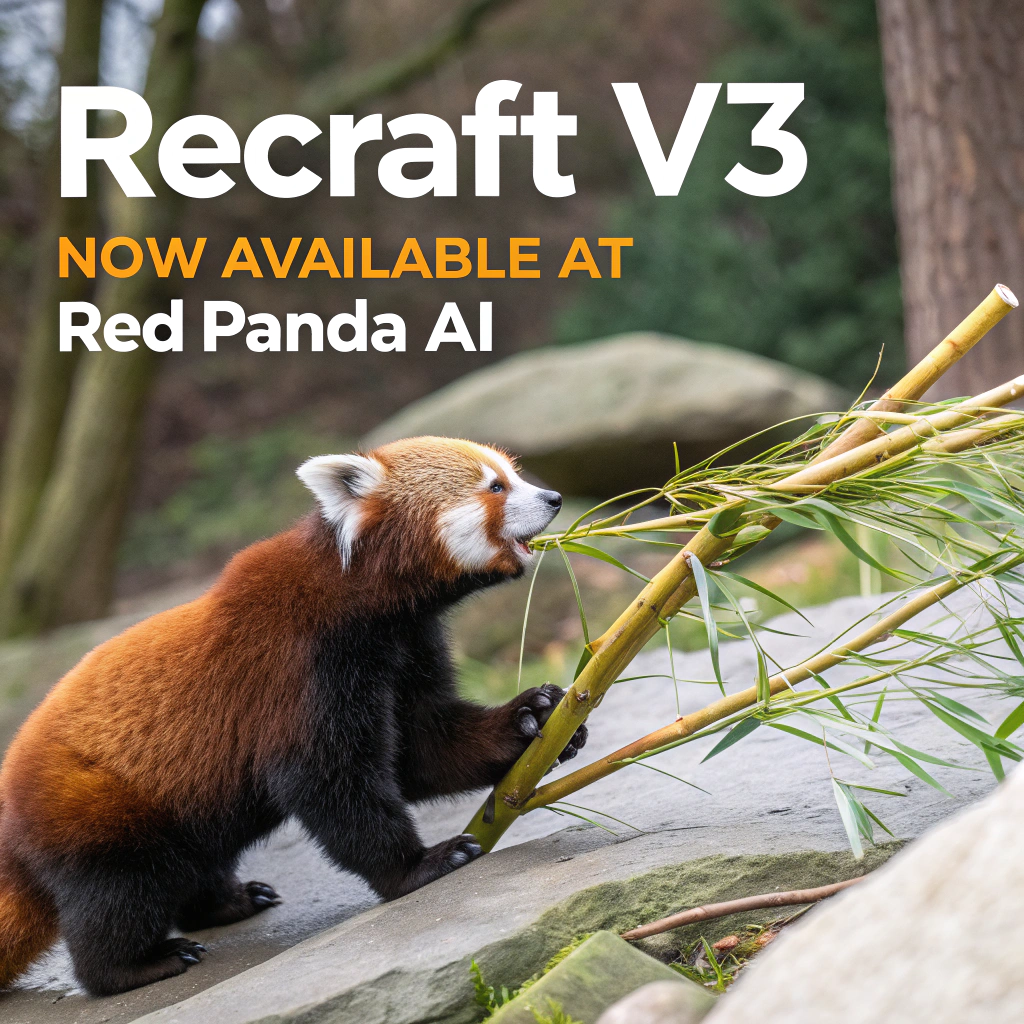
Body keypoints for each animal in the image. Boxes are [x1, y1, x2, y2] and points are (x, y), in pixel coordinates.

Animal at [0, 436, 588, 997]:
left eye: (513, 474)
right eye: (495, 487)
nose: (555, 497)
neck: (360, 600)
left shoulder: (408, 644)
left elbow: (423, 747)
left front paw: (535, 719)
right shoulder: (298, 666)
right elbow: (327, 780)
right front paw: (418, 866)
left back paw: (227, 901)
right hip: (94, 812)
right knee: (117, 895)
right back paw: (136, 966)